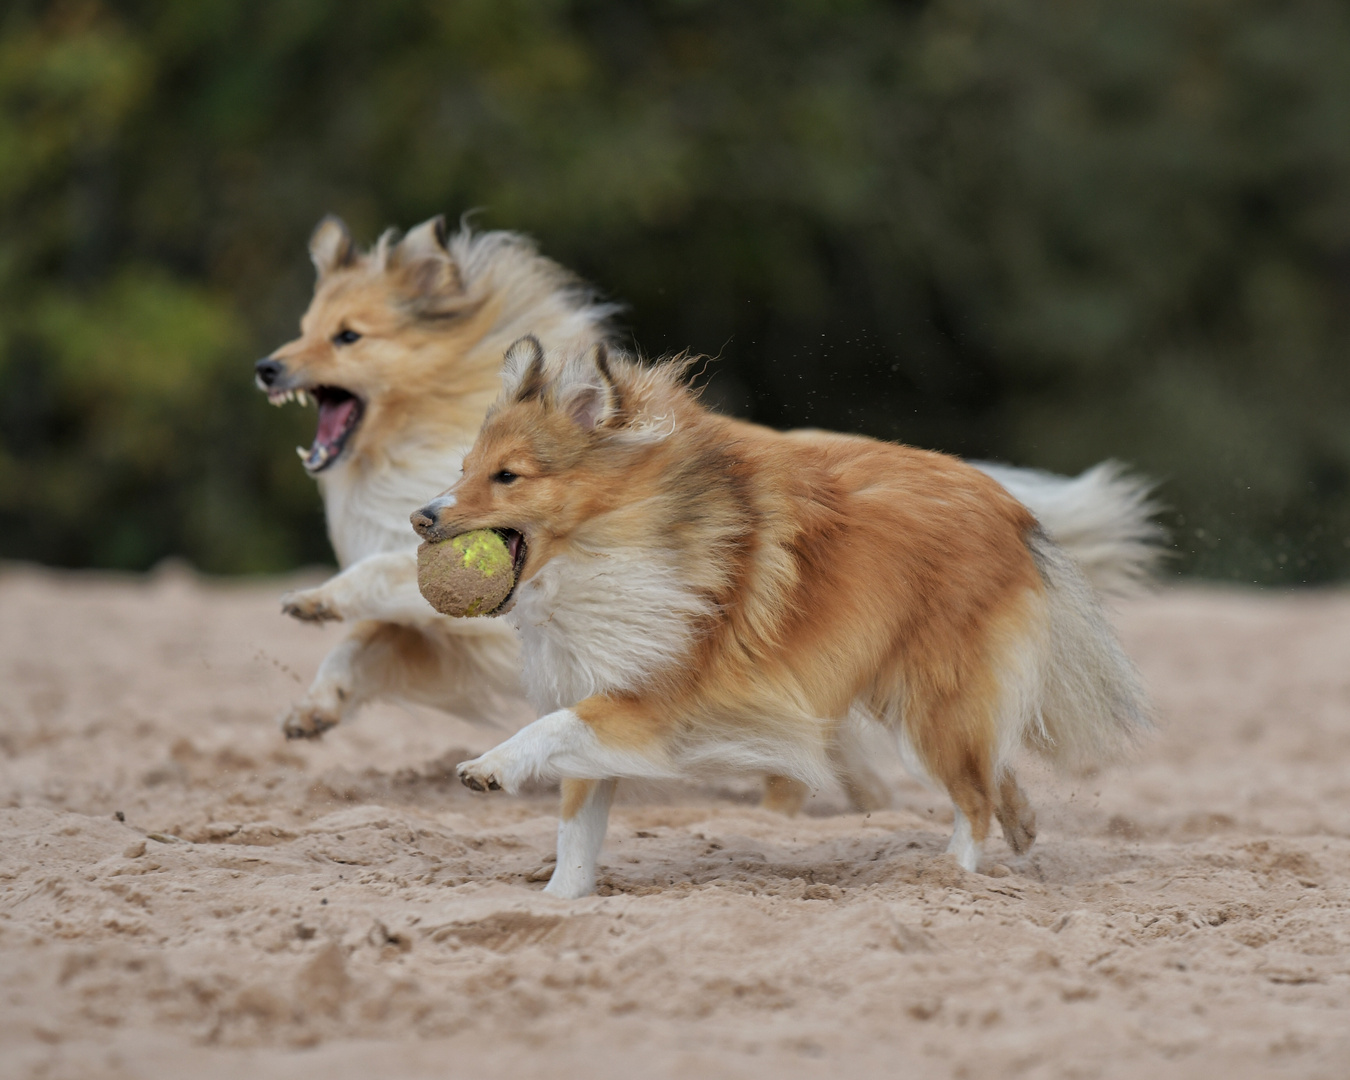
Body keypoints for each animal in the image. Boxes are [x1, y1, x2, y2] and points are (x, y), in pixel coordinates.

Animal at [255, 214, 1161, 815]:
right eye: (304, 328)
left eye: (347, 336)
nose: (266, 367)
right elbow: (368, 643)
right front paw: (316, 705)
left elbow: (383, 585)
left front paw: (319, 597)